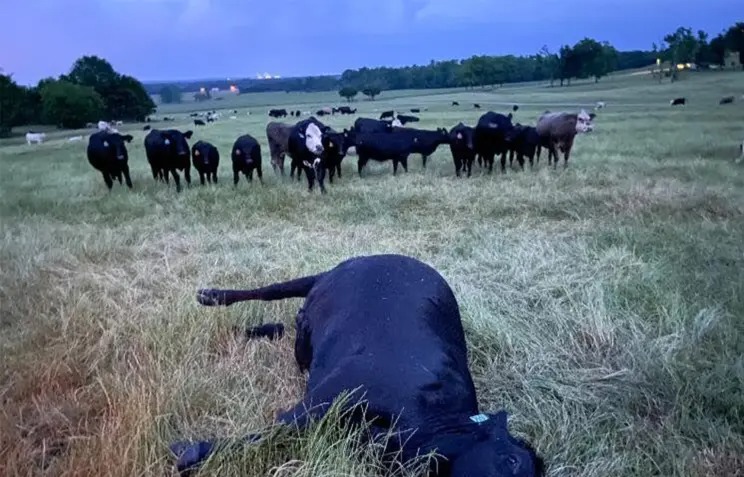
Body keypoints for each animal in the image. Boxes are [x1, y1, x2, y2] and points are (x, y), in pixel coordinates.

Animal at [173, 253, 548, 476]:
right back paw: (213, 296)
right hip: (318, 279)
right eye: (512, 460)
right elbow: (275, 430)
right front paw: (193, 452)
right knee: (271, 290)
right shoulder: (329, 397)